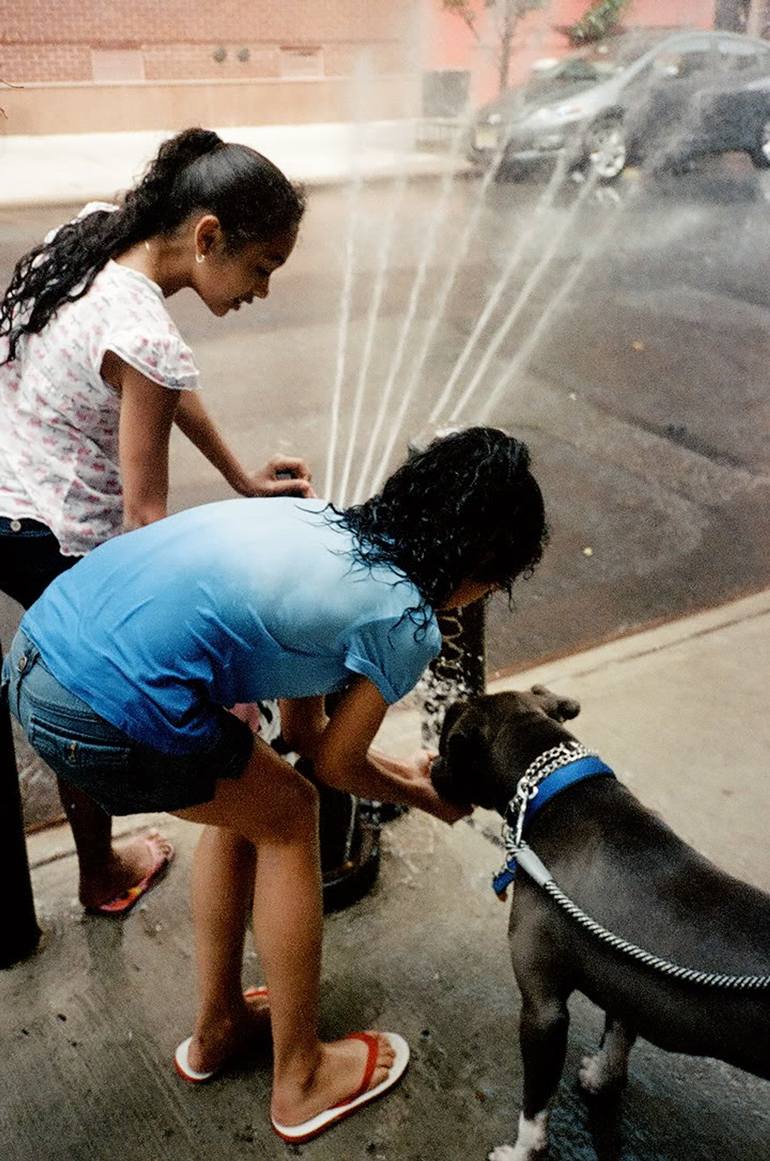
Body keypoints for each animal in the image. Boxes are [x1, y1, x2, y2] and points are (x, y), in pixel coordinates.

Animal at [434, 682, 770, 1156]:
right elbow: (618, 1034)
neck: (556, 795)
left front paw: (521, 1152)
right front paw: (602, 1078)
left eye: (446, 745)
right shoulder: (625, 973)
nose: (431, 767)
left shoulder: (543, 1011)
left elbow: (534, 1106)